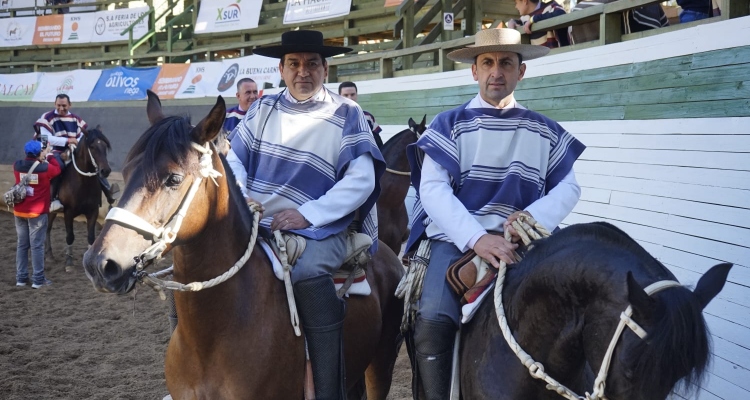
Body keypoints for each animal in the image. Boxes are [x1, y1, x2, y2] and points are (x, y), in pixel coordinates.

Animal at [45, 127, 112, 272]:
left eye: (105, 146)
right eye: (92, 147)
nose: (105, 171)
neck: (82, 183)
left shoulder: (93, 212)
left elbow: (91, 237)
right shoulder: (68, 213)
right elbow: (70, 236)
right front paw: (69, 263)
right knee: (47, 228)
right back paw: (49, 256)